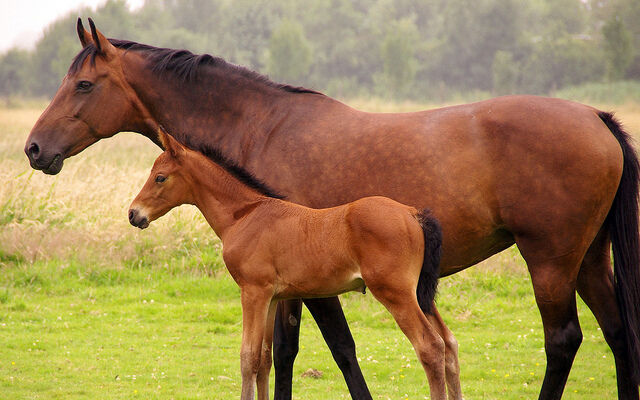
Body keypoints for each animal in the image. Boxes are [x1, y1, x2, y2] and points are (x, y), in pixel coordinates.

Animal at [128, 127, 451, 400]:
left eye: (160, 177)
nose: (134, 214)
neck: (245, 215)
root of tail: (413, 214)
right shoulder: (272, 298)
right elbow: (263, 358)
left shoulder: (253, 292)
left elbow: (247, 357)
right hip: (418, 294)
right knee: (448, 344)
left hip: (395, 293)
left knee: (430, 346)